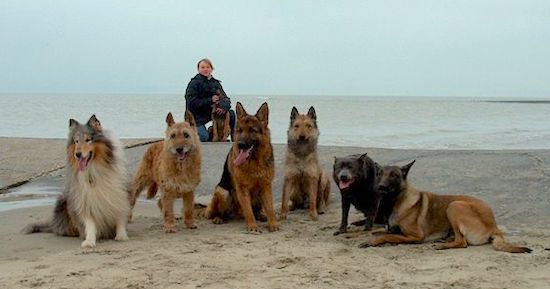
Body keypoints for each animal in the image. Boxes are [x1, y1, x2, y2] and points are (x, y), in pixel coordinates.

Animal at [24, 115, 132, 248]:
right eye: (76, 141)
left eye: (88, 140)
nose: (78, 154)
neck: (93, 169)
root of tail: (54, 224)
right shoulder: (84, 198)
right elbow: (90, 221)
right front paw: (89, 241)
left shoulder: (119, 193)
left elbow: (120, 215)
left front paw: (122, 236)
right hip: (64, 202)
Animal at [205, 101, 280, 232]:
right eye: (239, 130)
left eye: (252, 130)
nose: (240, 144)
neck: (255, 161)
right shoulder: (242, 188)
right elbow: (248, 210)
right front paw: (252, 226)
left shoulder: (266, 186)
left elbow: (270, 208)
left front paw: (273, 223)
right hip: (222, 191)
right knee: (220, 212)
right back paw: (219, 218)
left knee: (257, 210)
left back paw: (261, 215)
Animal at [360, 160, 532, 252]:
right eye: (380, 174)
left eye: (394, 175)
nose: (381, 187)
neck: (396, 201)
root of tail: (494, 226)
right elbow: (382, 232)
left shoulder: (415, 236)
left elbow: (386, 235)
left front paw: (373, 242)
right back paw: (444, 240)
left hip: (454, 206)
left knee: (462, 242)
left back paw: (441, 245)